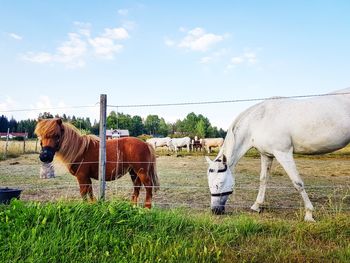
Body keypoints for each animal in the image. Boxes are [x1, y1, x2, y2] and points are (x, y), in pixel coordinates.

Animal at [206, 88, 350, 223]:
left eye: (220, 182)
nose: (215, 210)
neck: (260, 120)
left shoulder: (283, 153)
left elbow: (297, 183)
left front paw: (309, 214)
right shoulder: (266, 155)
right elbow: (263, 179)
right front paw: (256, 206)